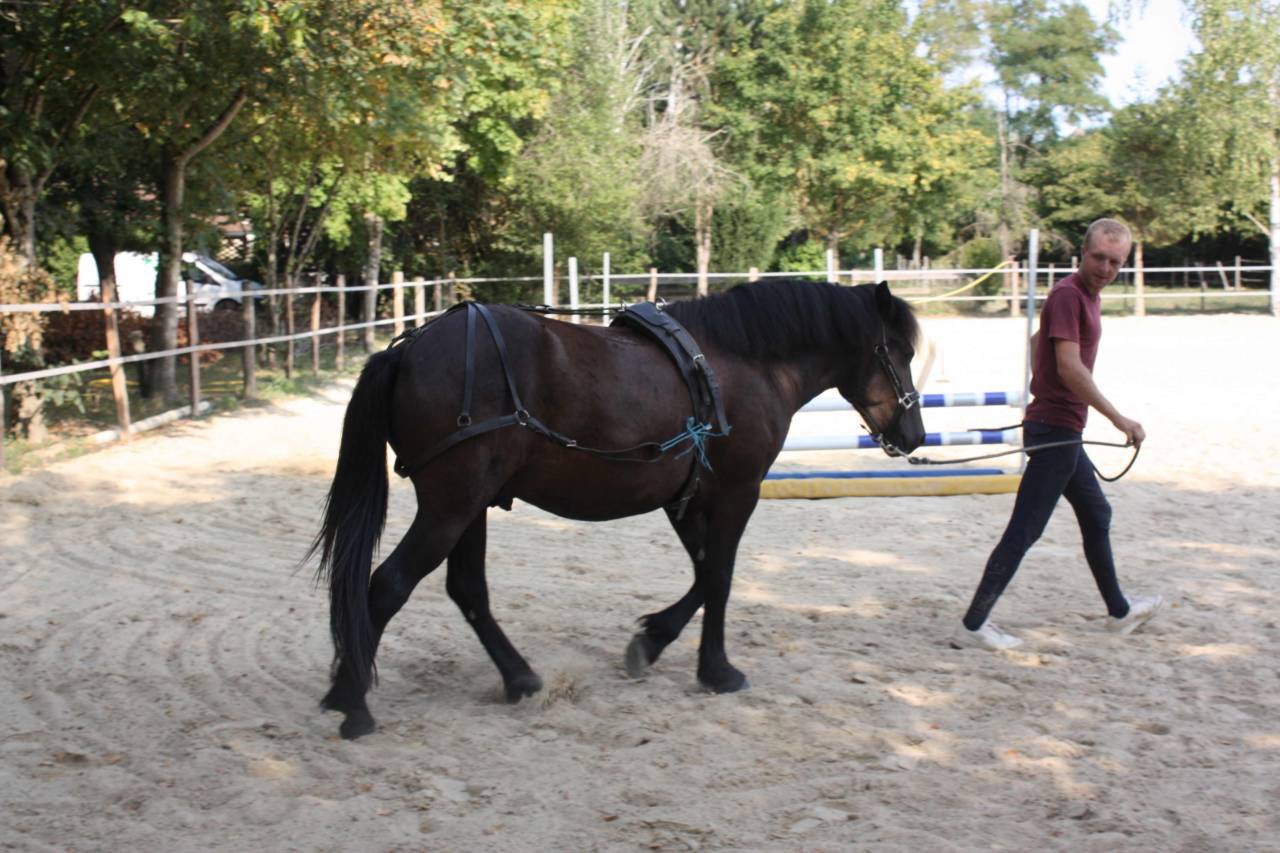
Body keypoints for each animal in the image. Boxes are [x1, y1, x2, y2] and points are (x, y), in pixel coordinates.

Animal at [310, 279, 925, 739]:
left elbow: (704, 573)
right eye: (902, 352)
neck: (741, 364)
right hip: (451, 505)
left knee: (467, 591)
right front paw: (716, 670)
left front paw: (653, 639)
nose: (914, 435)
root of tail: (407, 350)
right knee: (387, 586)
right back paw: (352, 701)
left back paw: (518, 679)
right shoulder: (736, 491)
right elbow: (721, 577)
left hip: (469, 506)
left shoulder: (687, 498)